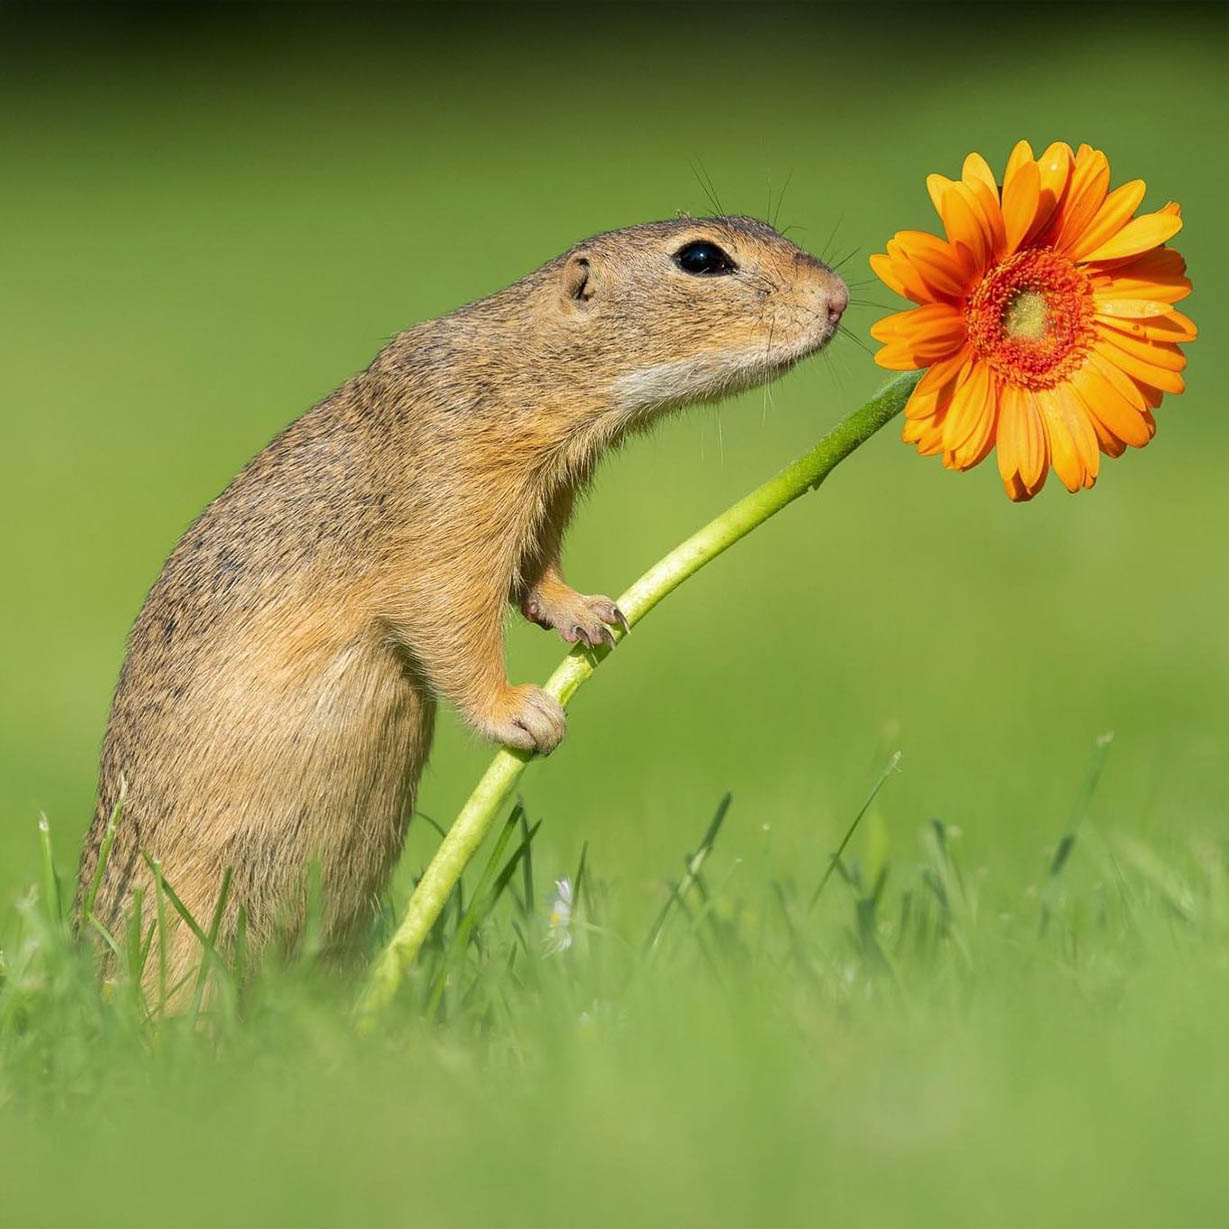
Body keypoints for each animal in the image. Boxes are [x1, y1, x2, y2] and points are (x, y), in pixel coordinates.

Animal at [75, 215, 848, 992]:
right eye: (701, 258)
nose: (839, 298)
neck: (522, 370)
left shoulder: (549, 494)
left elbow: (534, 576)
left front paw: (592, 612)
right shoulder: (449, 496)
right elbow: (449, 616)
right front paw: (522, 712)